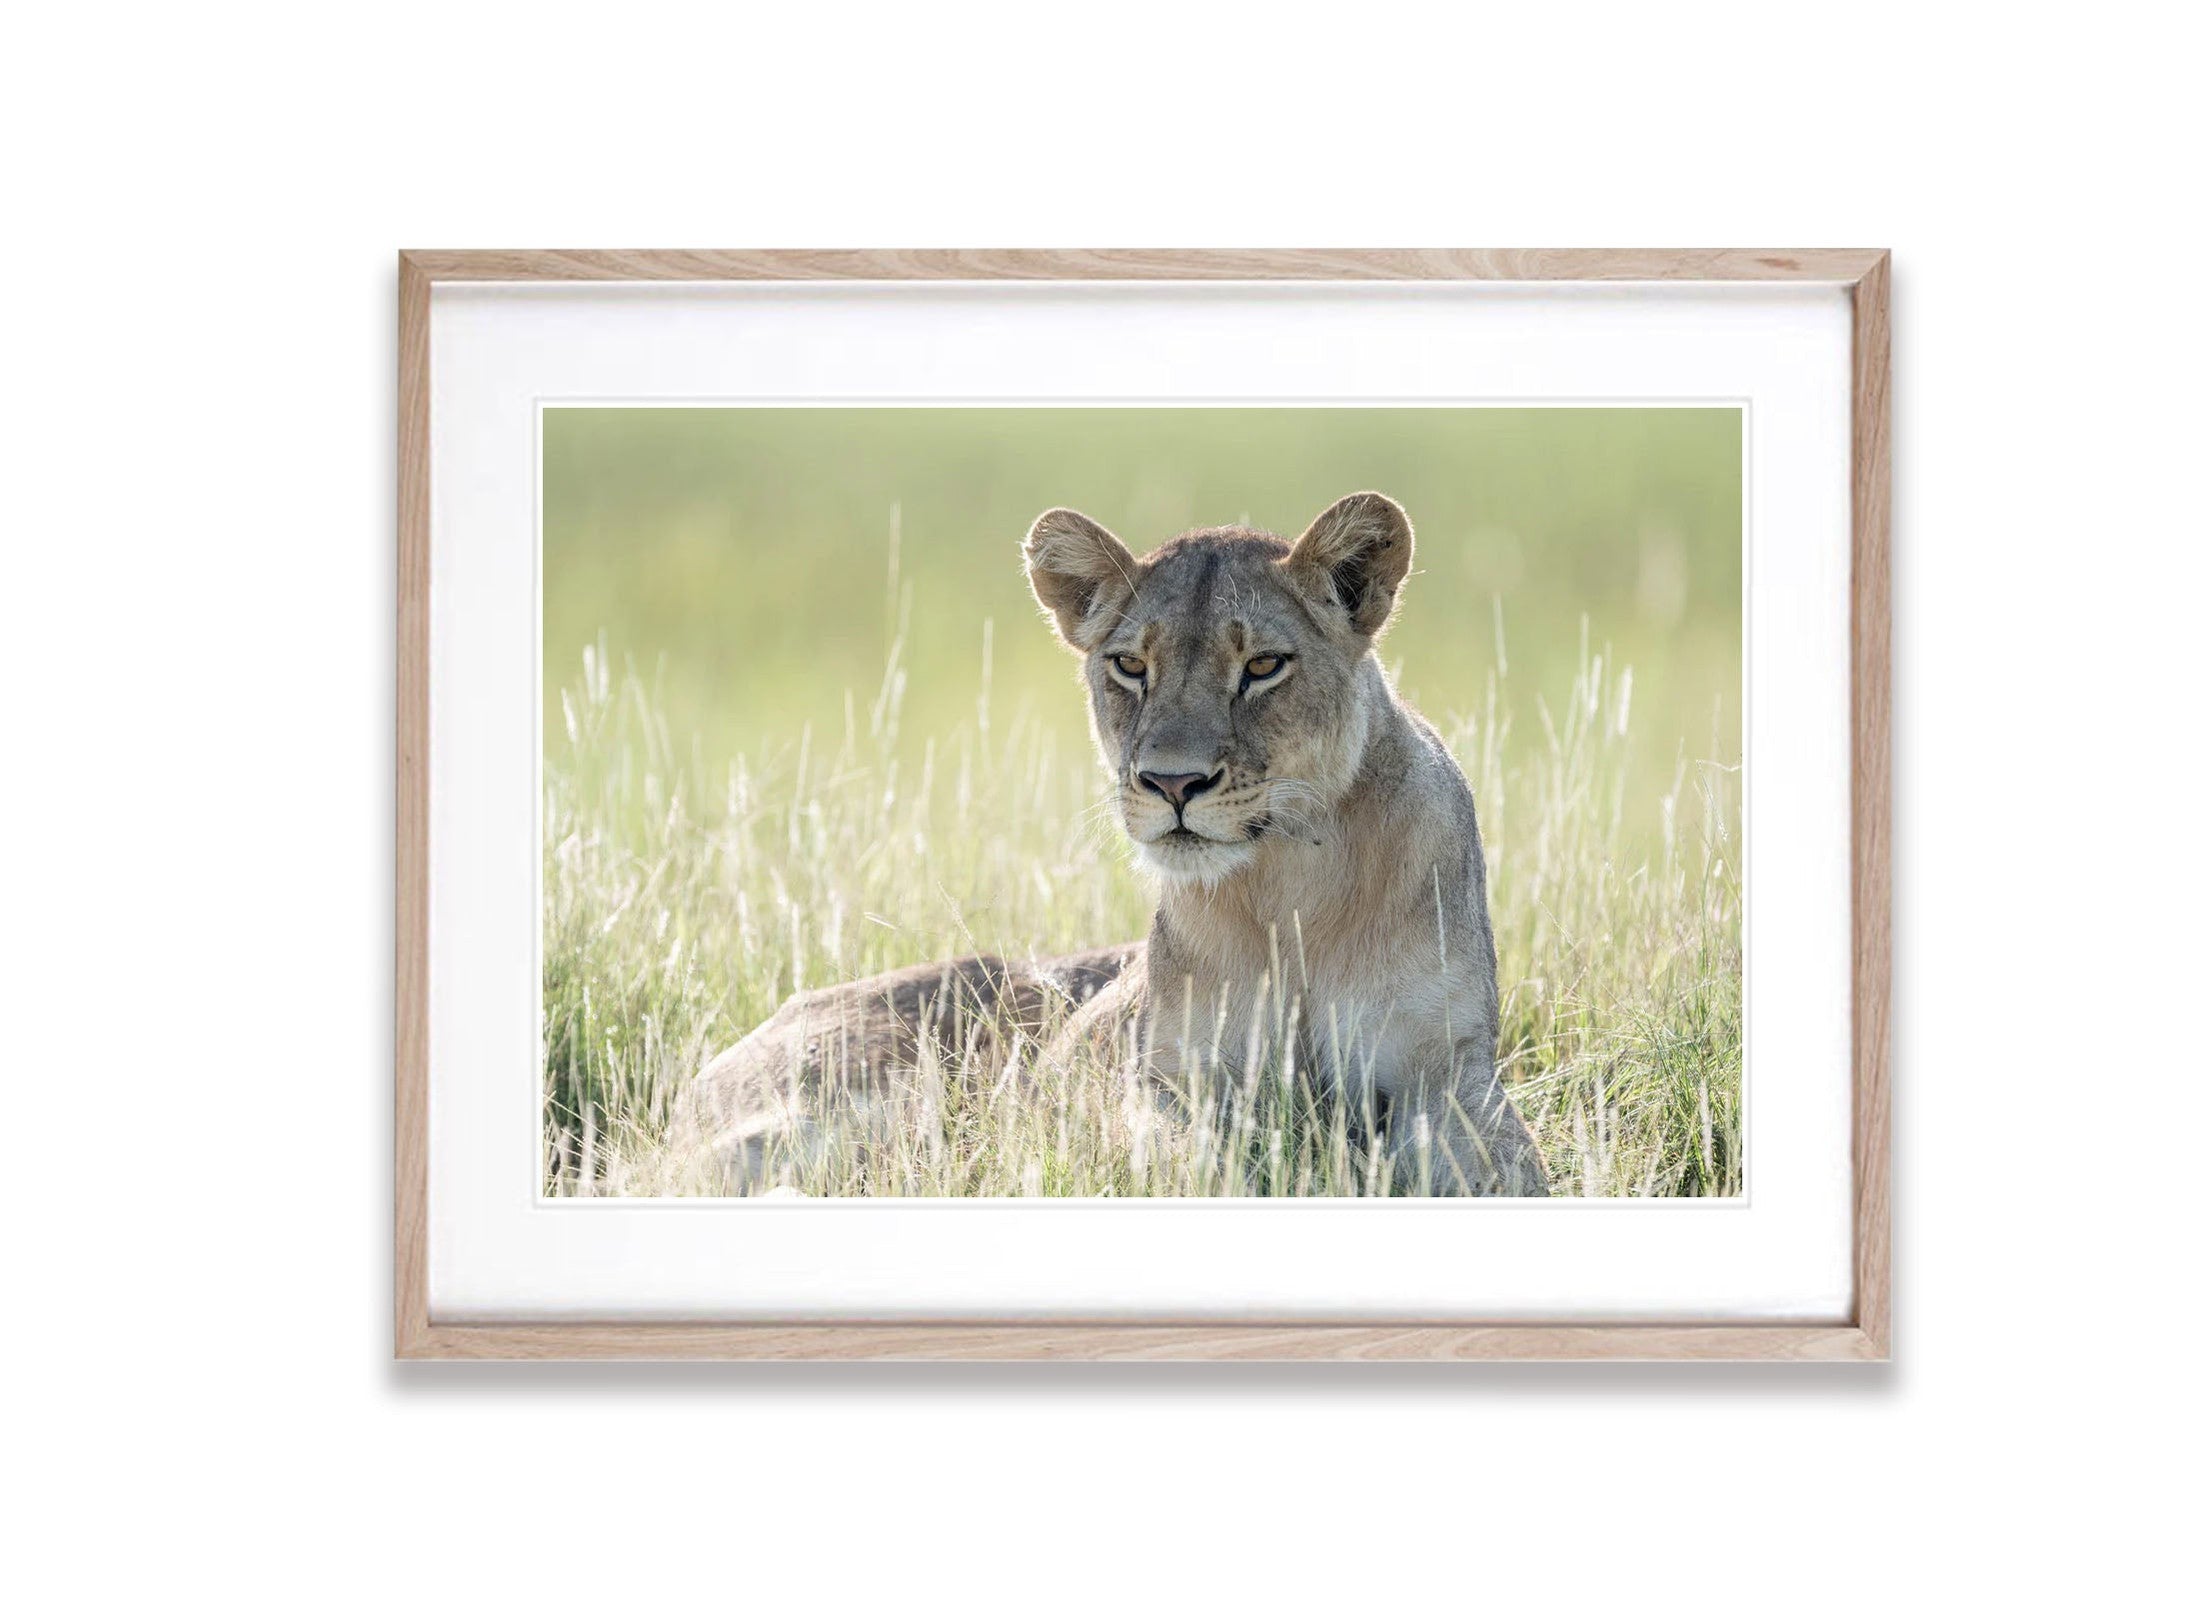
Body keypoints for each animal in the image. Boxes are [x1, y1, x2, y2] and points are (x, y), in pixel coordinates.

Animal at [673, 492, 1549, 1197]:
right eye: (1129, 665)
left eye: (1263, 665)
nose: (1172, 782)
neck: (1287, 884)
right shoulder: (1170, 1077)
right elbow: (1179, 1159)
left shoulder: (1448, 1072)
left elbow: (1504, 1166)